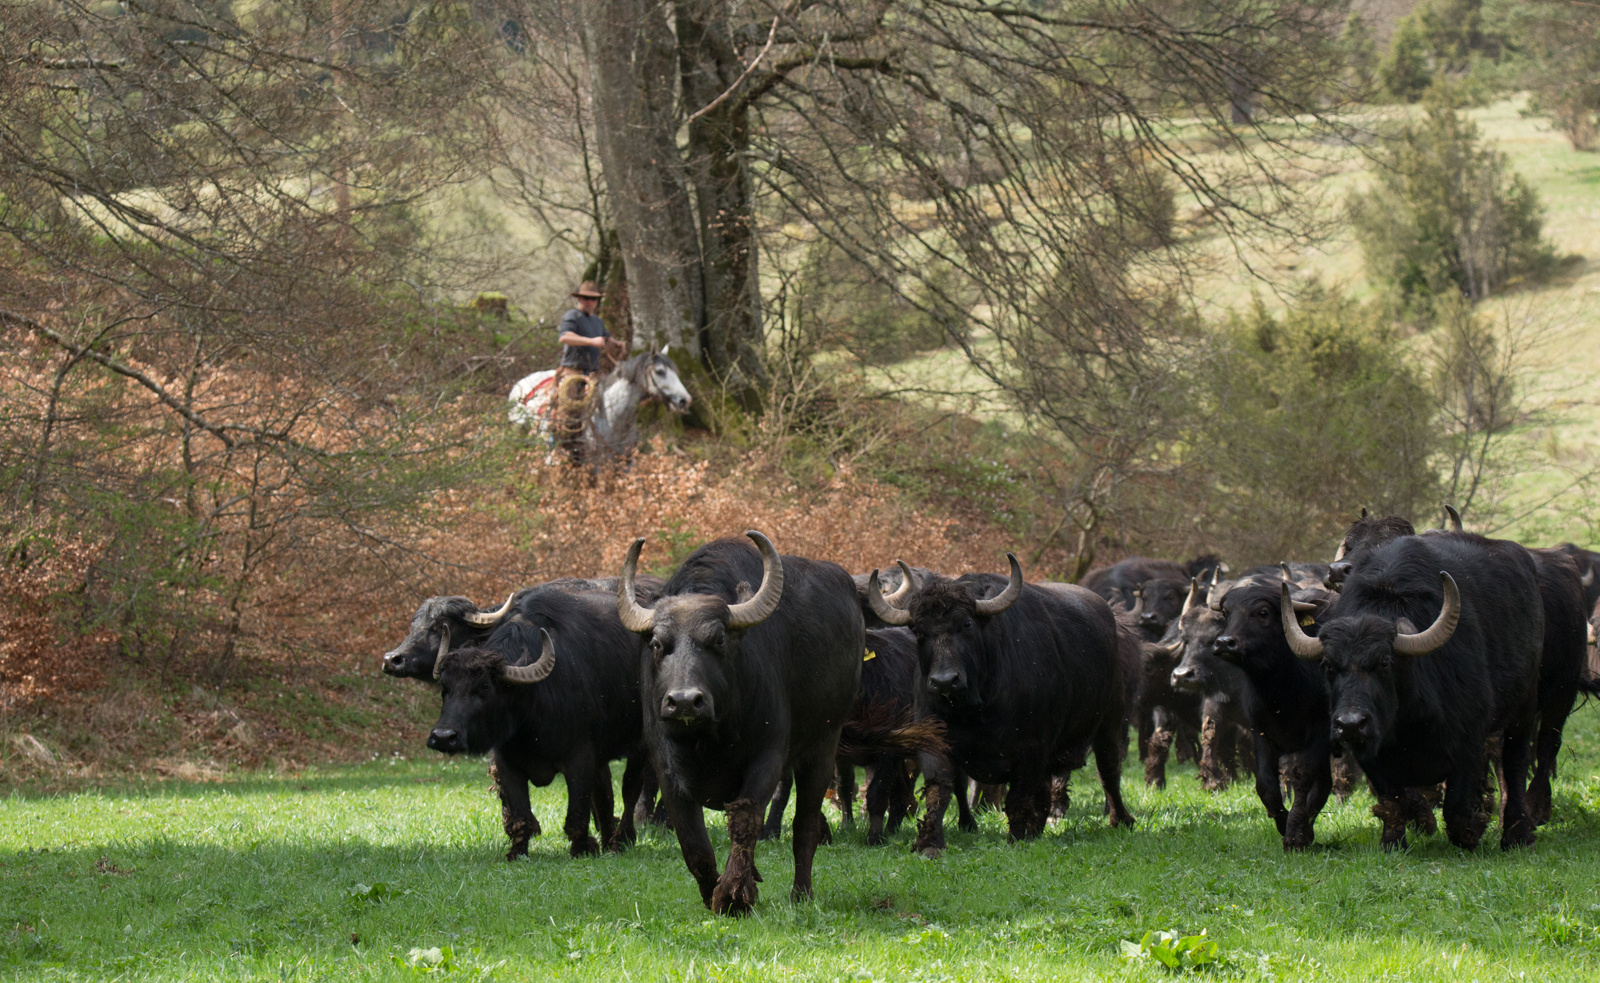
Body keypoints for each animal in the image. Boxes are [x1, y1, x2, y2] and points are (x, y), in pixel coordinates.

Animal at [428, 589, 652, 858]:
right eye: (445, 687)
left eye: (484, 686)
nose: (443, 737)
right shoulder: (506, 764)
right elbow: (520, 817)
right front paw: (517, 852)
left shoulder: (580, 760)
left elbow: (577, 815)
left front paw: (582, 849)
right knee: (604, 790)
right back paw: (609, 839)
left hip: (640, 745)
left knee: (630, 789)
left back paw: (622, 840)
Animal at [614, 531, 864, 915]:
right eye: (657, 643)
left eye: (718, 639)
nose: (684, 701)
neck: (710, 738)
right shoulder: (666, 767)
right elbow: (693, 842)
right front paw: (712, 893)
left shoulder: (767, 757)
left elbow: (746, 822)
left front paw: (733, 894)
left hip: (824, 743)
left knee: (806, 826)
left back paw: (801, 893)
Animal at [864, 557, 1139, 858]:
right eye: (918, 631)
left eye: (967, 624)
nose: (944, 681)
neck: (975, 710)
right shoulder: (934, 738)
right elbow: (939, 788)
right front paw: (929, 842)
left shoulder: (1032, 747)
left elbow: (1018, 797)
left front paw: (1016, 837)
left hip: (1110, 722)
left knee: (1108, 771)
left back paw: (1121, 819)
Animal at [1280, 534, 1542, 851]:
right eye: (1329, 666)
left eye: (1384, 662)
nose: (1350, 724)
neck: (1409, 722)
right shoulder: (1372, 753)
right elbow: (1392, 801)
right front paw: (1393, 842)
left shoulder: (1469, 740)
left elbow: (1456, 804)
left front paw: (1472, 830)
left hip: (1524, 707)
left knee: (1513, 765)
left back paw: (1518, 834)